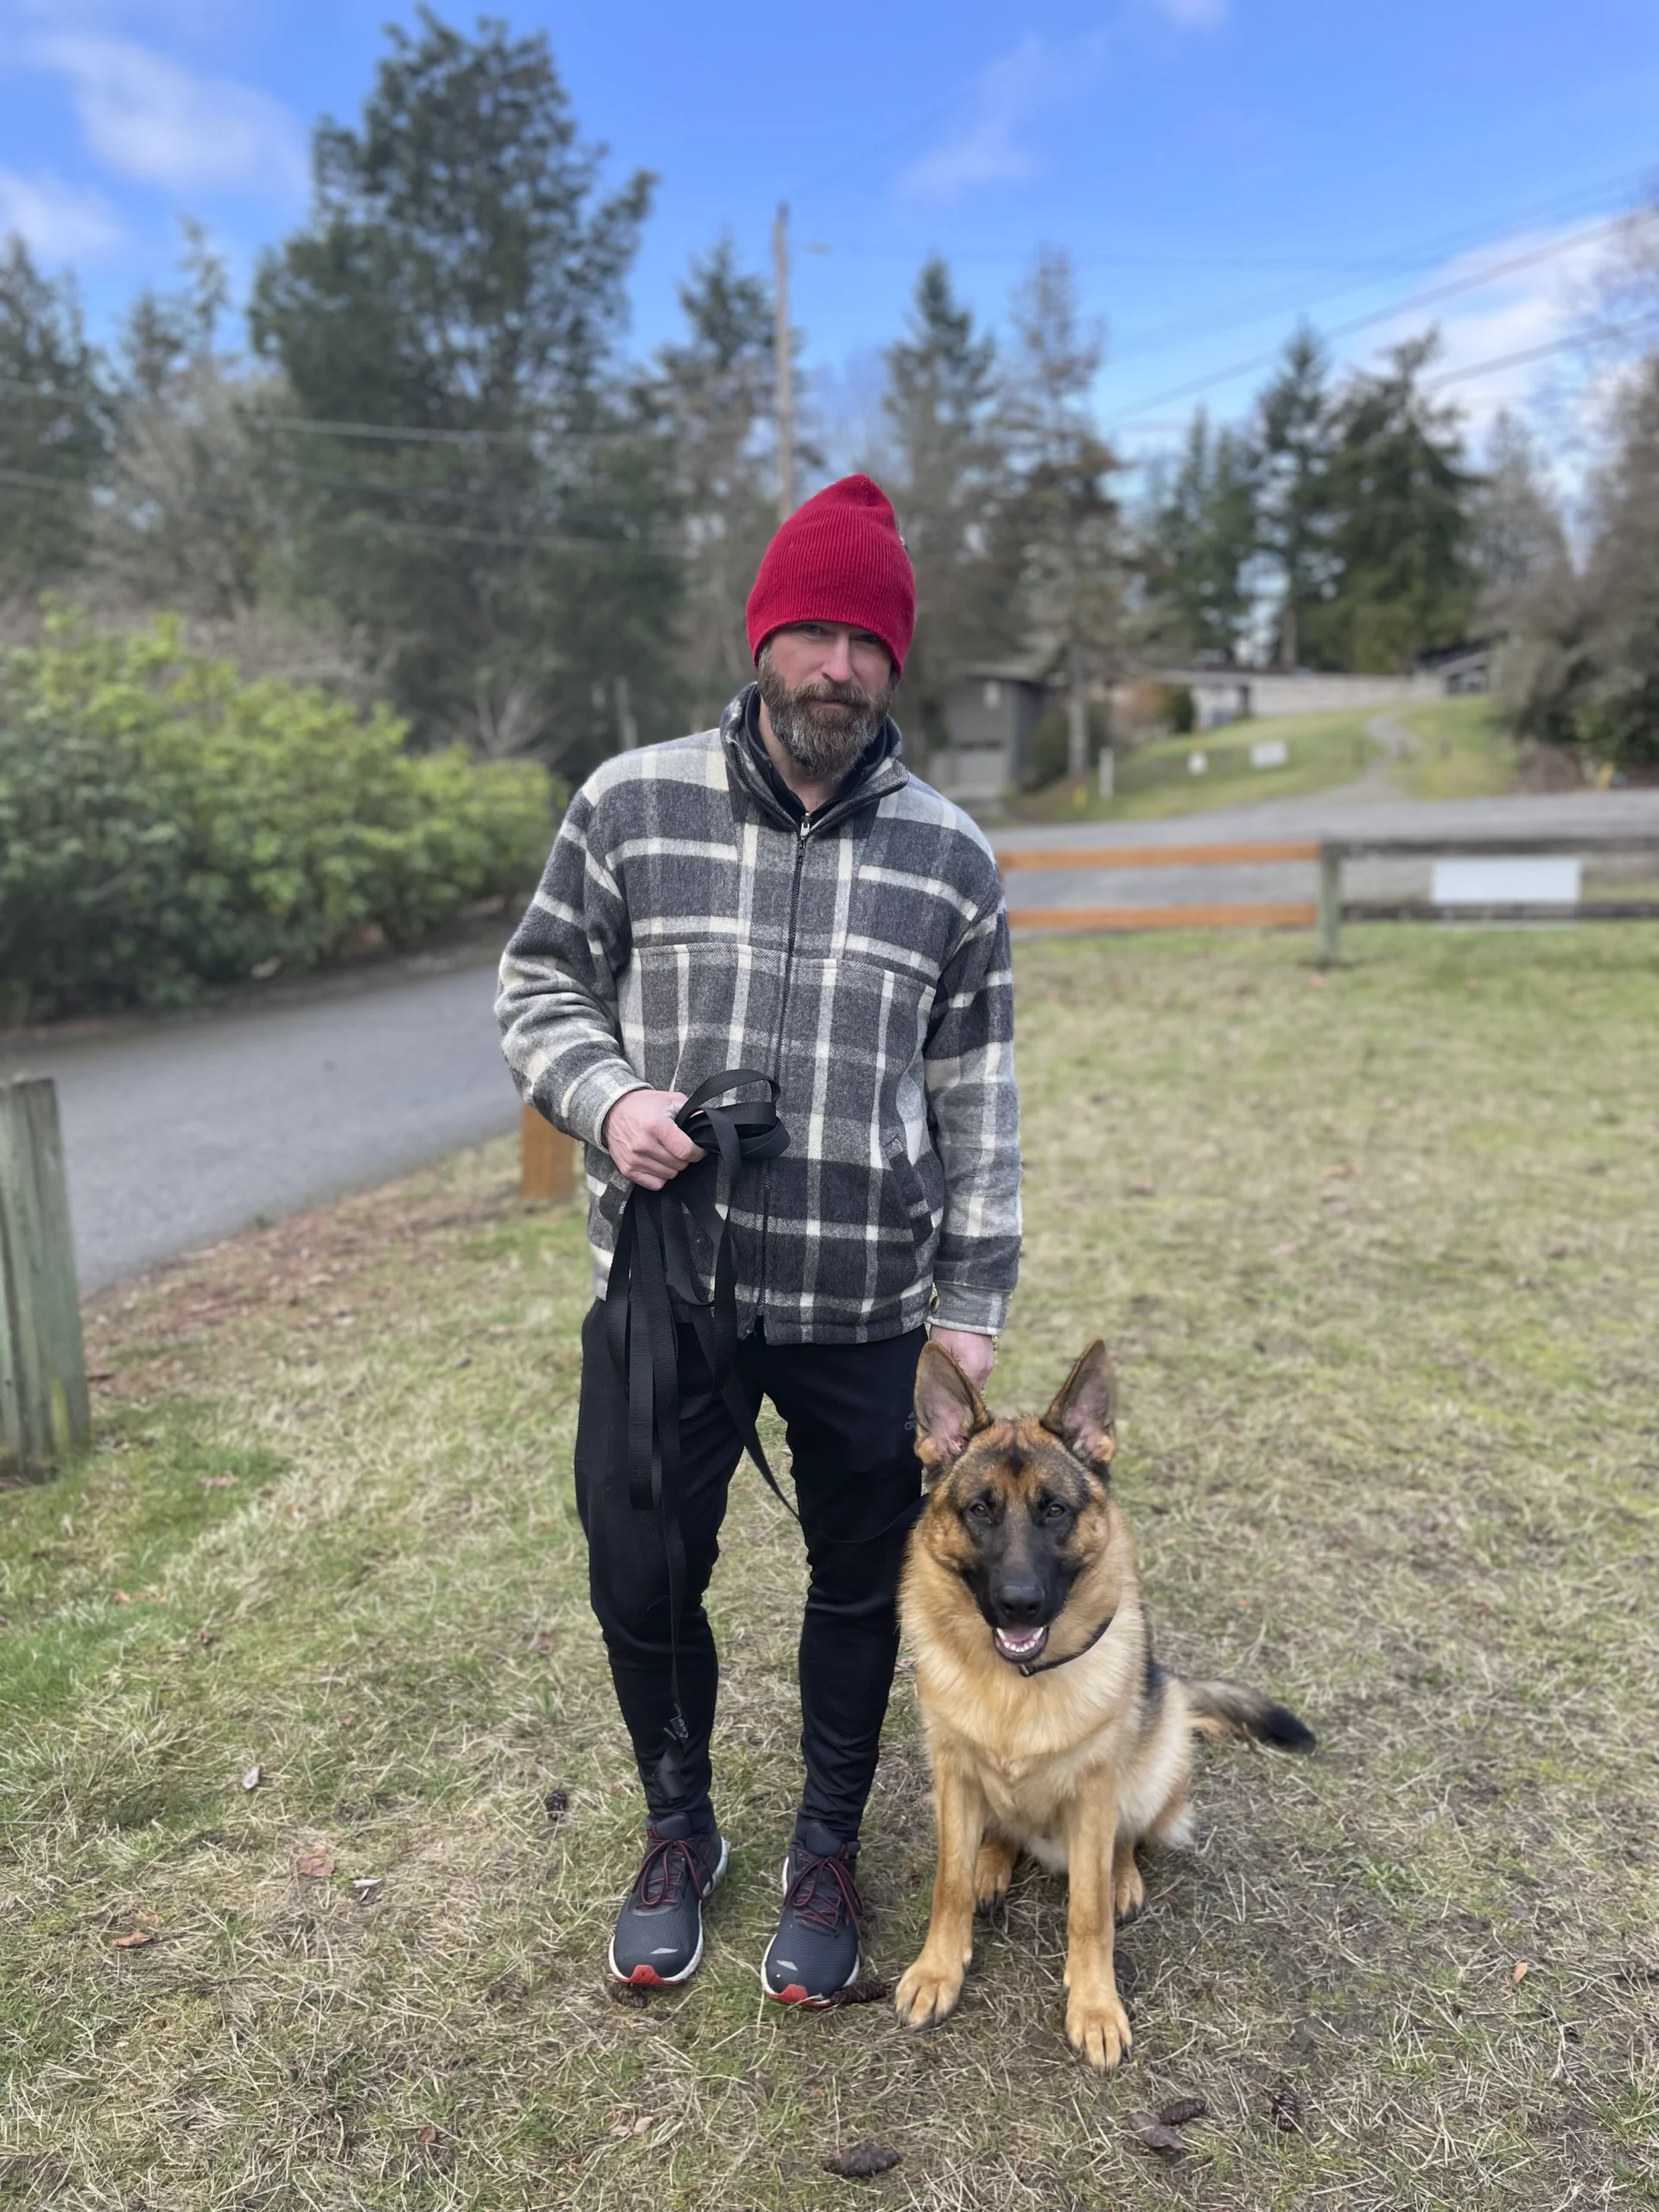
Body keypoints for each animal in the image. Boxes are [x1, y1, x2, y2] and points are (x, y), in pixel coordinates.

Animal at [898, 1327, 1309, 2070]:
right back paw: (993, 1863)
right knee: (1001, 1837)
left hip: (1156, 1758)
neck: (1016, 1687)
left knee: (1128, 1839)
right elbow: (949, 1883)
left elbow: (1086, 1912)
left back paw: (1122, 1878)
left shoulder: (1092, 1792)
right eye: (980, 1510)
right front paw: (939, 1969)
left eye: (1055, 1510)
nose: (1019, 1603)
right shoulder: (954, 1775)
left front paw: (1094, 2007)